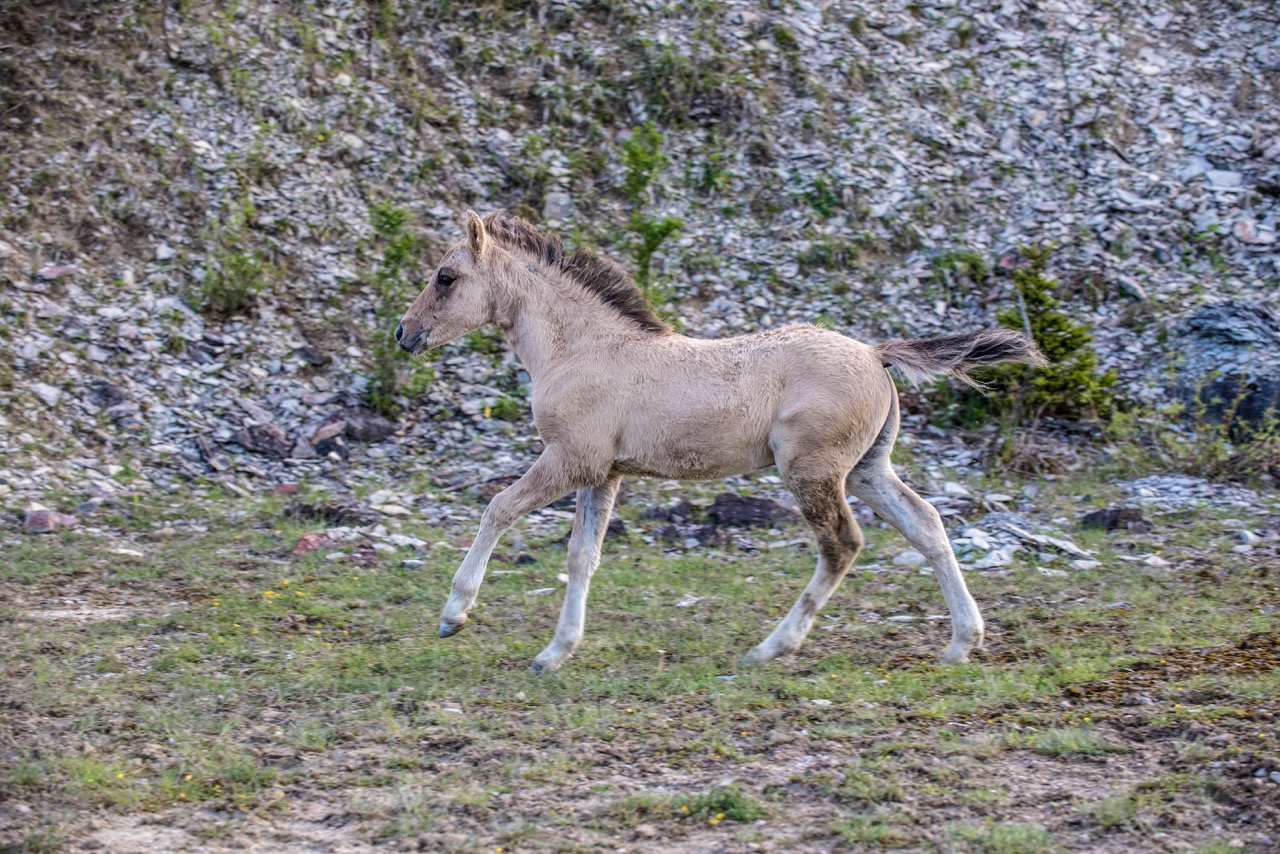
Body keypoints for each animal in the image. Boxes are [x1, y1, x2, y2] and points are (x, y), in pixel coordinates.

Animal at [399, 209, 1049, 670]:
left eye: (446, 277)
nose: (404, 333)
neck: (582, 349)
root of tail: (874, 352)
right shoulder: (604, 473)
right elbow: (583, 556)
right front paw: (554, 653)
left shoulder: (571, 460)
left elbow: (498, 508)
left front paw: (455, 614)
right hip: (868, 470)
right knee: (927, 524)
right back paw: (962, 642)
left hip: (811, 471)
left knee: (842, 544)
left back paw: (771, 648)